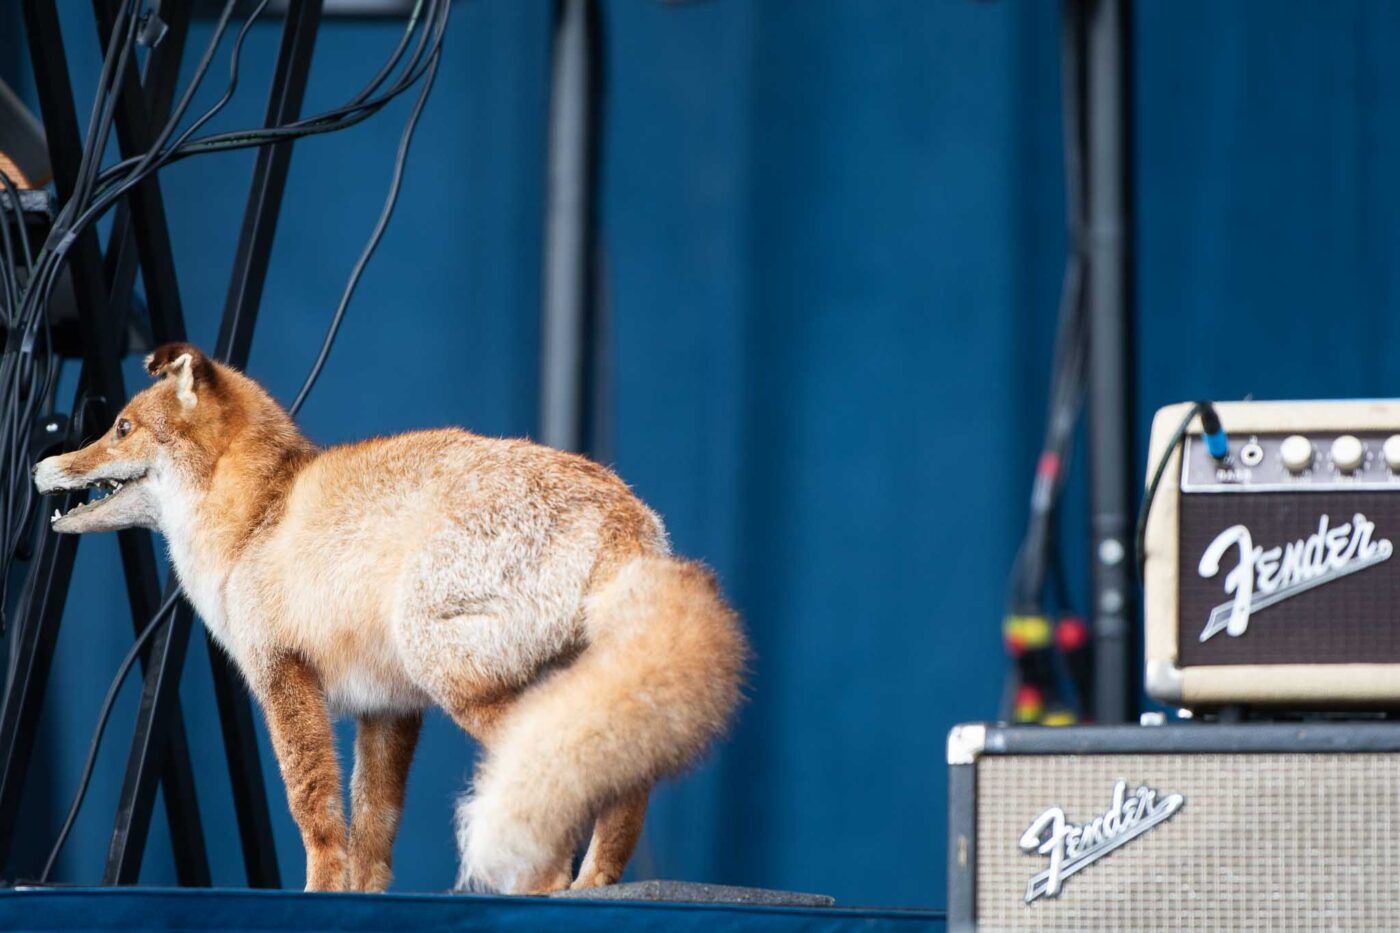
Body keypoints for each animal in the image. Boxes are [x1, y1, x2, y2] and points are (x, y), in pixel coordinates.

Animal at [30, 343, 744, 896]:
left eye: (121, 428)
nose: (40, 466)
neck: (259, 517)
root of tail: (623, 512)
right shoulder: (388, 707)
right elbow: (373, 829)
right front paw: (361, 898)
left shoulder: (282, 676)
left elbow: (315, 812)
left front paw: (319, 894)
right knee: (626, 769)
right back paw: (595, 882)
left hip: (447, 663)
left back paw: (548, 888)